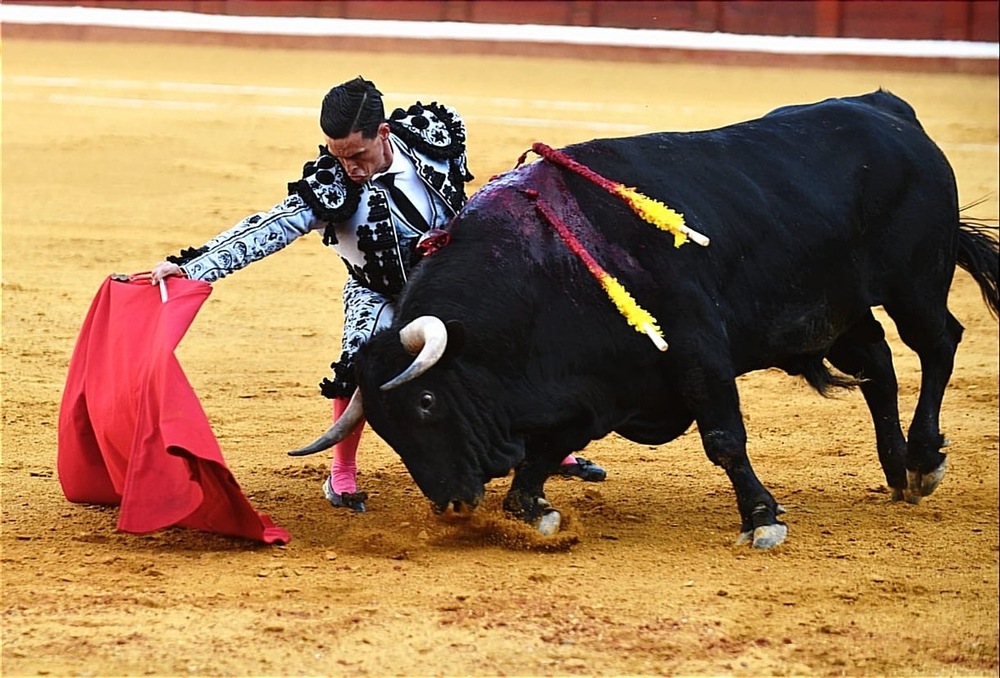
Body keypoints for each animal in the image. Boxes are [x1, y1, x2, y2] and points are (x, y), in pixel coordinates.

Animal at [292, 90, 1000, 548]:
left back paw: (925, 459)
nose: (453, 504)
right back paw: (898, 469)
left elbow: (723, 438)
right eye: (387, 428)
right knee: (878, 360)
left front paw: (762, 519)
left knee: (938, 342)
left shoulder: (695, 348)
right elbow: (543, 453)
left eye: (428, 401)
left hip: (915, 283)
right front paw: (535, 511)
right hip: (833, 311)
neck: (545, 273)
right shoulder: (600, 388)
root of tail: (891, 113)